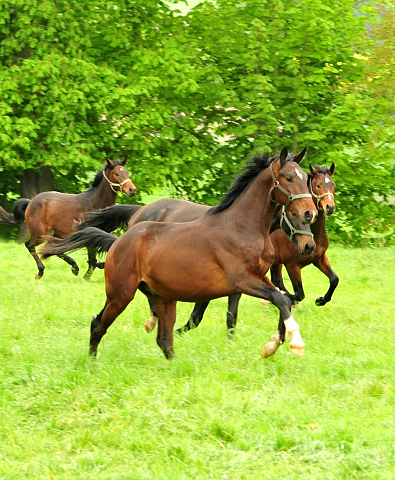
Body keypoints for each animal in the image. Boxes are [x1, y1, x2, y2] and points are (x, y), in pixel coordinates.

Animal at [0, 158, 136, 280]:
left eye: (127, 172)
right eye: (117, 173)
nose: (132, 190)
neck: (95, 204)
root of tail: (31, 202)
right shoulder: (89, 235)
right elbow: (92, 260)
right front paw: (88, 275)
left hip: (58, 233)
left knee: (53, 248)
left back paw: (74, 267)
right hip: (39, 233)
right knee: (30, 245)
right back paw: (40, 271)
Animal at [41, 148, 318, 358]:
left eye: (305, 178)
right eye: (288, 178)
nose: (310, 213)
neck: (241, 226)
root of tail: (119, 241)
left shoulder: (257, 277)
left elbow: (283, 298)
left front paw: (273, 344)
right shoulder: (241, 279)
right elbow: (279, 299)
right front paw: (293, 343)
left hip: (163, 297)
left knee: (164, 339)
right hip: (121, 293)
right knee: (98, 324)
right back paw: (92, 361)